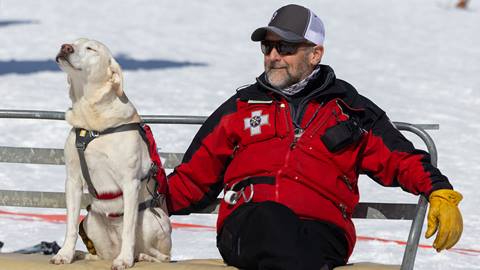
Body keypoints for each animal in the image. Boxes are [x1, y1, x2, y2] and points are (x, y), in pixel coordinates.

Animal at [51, 38, 172, 270]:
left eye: (91, 48)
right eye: (71, 42)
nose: (65, 47)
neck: (93, 124)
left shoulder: (130, 182)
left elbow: (128, 230)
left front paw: (124, 260)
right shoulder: (72, 180)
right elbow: (70, 226)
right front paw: (65, 254)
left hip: (151, 219)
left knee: (163, 256)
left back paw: (141, 257)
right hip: (90, 221)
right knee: (97, 251)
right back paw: (85, 255)